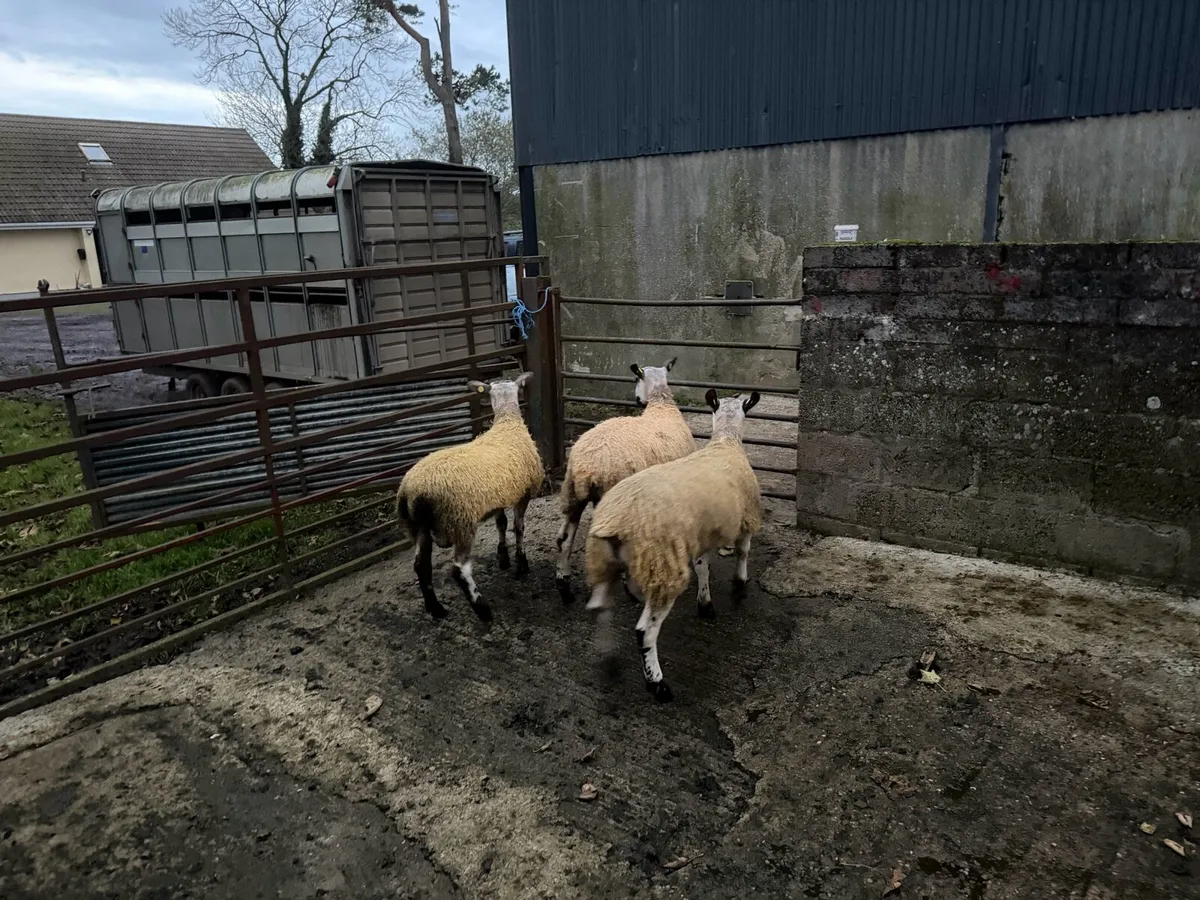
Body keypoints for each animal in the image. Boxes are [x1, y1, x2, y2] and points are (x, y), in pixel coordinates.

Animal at [396, 372, 544, 622]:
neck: (507, 423)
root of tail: (411, 490)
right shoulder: (523, 494)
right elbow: (519, 527)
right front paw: (521, 563)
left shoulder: (496, 497)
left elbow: (502, 524)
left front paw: (503, 558)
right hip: (460, 521)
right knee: (459, 569)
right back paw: (482, 609)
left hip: (419, 527)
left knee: (421, 566)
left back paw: (436, 609)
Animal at [555, 358, 695, 602]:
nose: (637, 400)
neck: (661, 405)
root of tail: (586, 467)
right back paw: (631, 589)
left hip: (571, 493)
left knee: (564, 538)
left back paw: (564, 585)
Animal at [583, 389, 762, 702]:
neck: (726, 441)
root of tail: (615, 522)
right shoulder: (745, 519)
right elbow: (743, 552)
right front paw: (740, 586)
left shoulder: (701, 532)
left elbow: (703, 568)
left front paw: (706, 604)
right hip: (662, 566)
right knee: (644, 632)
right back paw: (657, 684)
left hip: (605, 561)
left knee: (600, 609)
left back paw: (608, 660)